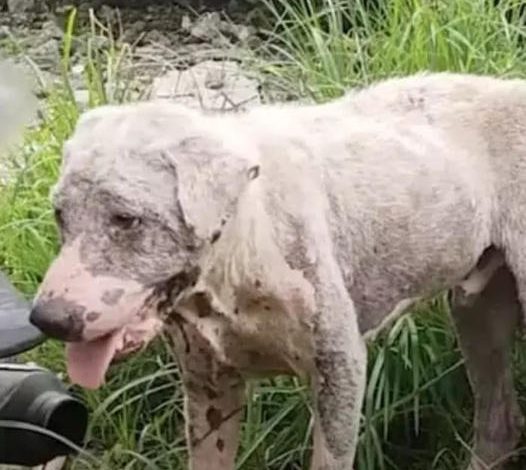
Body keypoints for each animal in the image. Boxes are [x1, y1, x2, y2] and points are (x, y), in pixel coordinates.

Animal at [27, 70, 526, 470]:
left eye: (127, 219)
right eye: (59, 214)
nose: (48, 319)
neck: (243, 248)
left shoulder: (339, 368)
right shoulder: (208, 387)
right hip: (476, 309)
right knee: (499, 423)